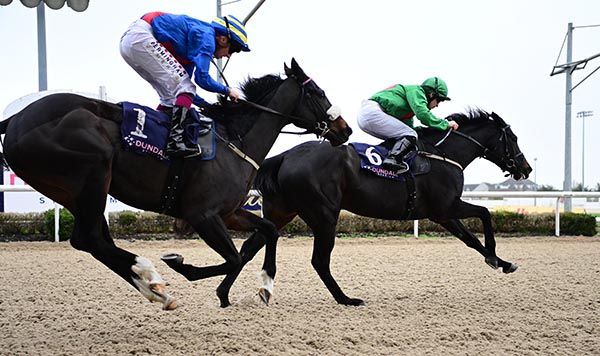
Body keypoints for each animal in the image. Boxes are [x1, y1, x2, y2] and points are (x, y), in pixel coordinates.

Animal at [0, 58, 354, 308]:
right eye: (318, 93)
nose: (345, 129)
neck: (233, 140)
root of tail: (15, 119)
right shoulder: (203, 215)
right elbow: (234, 257)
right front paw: (194, 274)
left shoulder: (228, 212)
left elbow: (268, 231)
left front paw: (264, 285)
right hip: (93, 172)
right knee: (89, 239)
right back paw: (148, 273)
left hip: (74, 192)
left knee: (94, 240)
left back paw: (153, 287)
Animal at [220, 109, 528, 306]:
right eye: (512, 138)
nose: (526, 168)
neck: (444, 155)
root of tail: (284, 156)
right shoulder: (446, 207)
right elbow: (485, 214)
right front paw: (496, 258)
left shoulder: (441, 215)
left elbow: (471, 239)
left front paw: (500, 262)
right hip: (323, 214)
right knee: (319, 260)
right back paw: (346, 299)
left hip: (282, 212)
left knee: (250, 246)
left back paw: (225, 294)